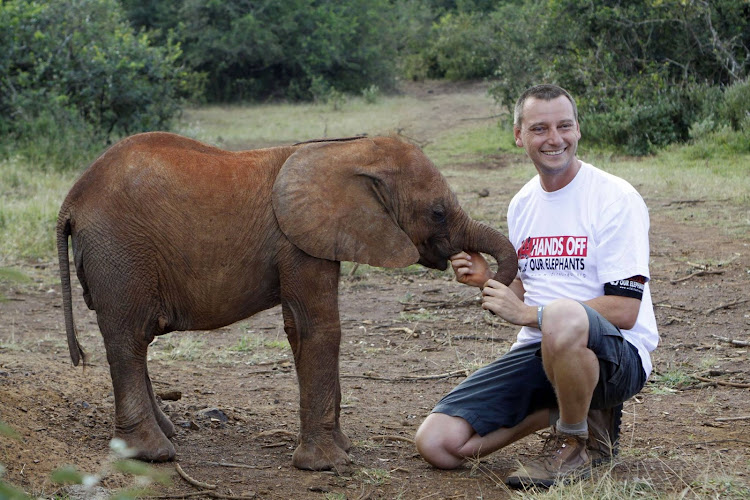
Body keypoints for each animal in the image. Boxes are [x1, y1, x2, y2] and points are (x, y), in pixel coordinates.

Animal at [57, 133, 516, 468]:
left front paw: (341, 449)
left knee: (137, 339)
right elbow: (319, 328)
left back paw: (163, 435)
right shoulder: (298, 241)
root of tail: (72, 199)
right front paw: (329, 464)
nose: (473, 269)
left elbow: (301, 329)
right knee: (130, 338)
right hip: (119, 251)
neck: (346, 151)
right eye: (438, 212)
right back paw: (152, 454)